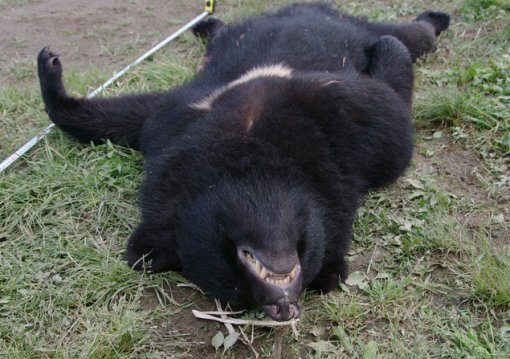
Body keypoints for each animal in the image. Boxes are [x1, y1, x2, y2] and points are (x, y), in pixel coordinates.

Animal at [36, 2, 450, 322]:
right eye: (235, 289)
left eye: (237, 253)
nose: (281, 306)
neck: (254, 141)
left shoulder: (180, 115)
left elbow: (392, 119)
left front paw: (50, 67)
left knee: (409, 35)